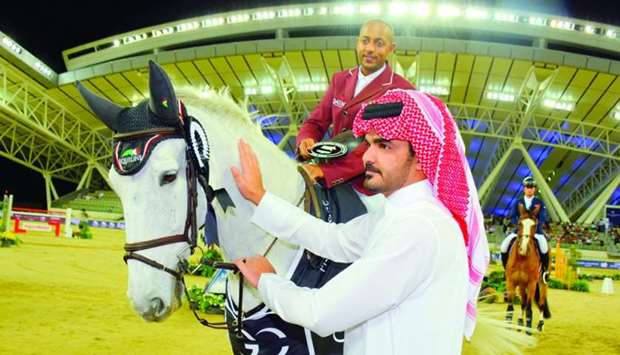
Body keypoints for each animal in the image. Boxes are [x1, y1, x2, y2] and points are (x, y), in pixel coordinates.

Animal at [504, 207, 552, 336]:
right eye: (519, 223)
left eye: (534, 225)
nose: (523, 248)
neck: (522, 258)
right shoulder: (511, 282)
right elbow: (510, 308)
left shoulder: (532, 284)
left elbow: (530, 309)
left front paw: (528, 332)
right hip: (521, 285)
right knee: (523, 303)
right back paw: (520, 324)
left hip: (541, 282)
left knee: (541, 302)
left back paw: (540, 325)